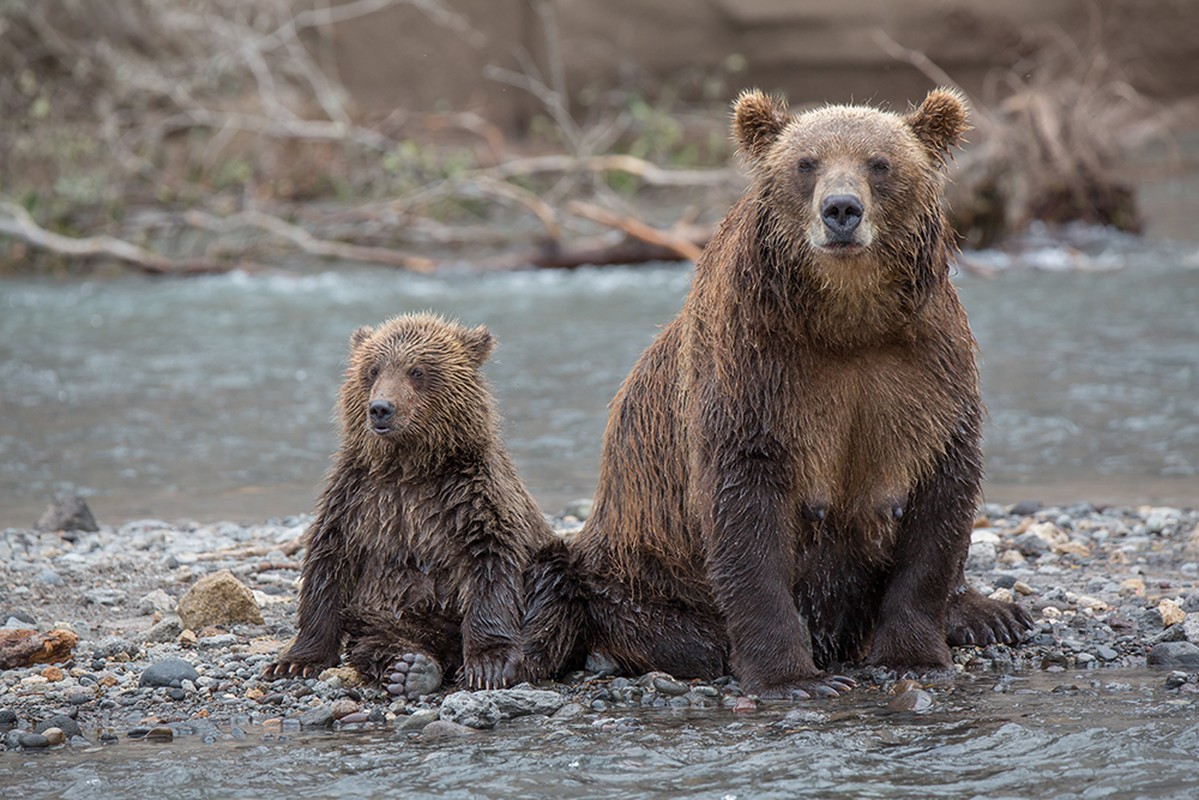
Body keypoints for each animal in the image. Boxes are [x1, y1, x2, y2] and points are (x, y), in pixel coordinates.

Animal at [570, 87, 1031, 695]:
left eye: (880, 163)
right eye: (805, 163)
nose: (841, 209)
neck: (848, 321)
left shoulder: (928, 372)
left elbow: (938, 503)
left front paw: (913, 654)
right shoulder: (756, 375)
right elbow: (746, 513)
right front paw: (793, 677)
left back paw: (991, 614)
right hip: (642, 573)